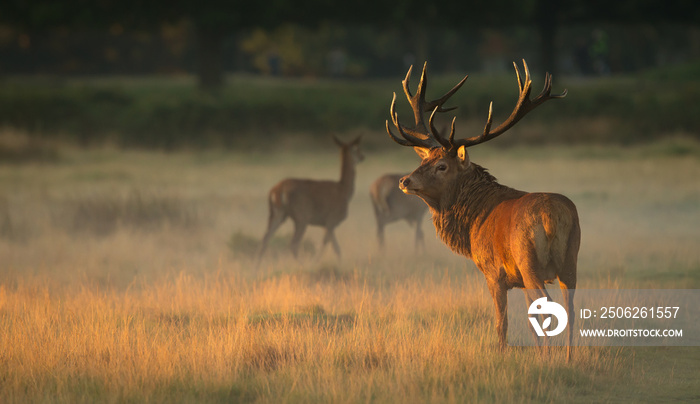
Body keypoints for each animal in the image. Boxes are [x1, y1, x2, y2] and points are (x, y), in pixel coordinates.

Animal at [258, 134, 366, 264]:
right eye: (357, 148)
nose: (363, 156)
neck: (344, 191)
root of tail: (277, 190)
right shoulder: (332, 219)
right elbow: (328, 245)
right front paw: (317, 261)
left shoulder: (326, 223)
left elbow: (335, 247)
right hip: (301, 216)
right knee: (293, 244)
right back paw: (301, 264)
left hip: (278, 213)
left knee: (265, 239)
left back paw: (257, 267)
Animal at [386, 60, 576, 360]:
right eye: (424, 159)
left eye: (442, 166)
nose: (405, 181)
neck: (475, 219)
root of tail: (552, 217)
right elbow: (528, 320)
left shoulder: (493, 271)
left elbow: (502, 321)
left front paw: (502, 352)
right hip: (571, 258)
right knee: (570, 307)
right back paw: (567, 357)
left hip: (529, 261)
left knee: (547, 306)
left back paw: (548, 357)